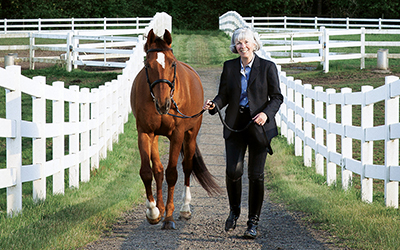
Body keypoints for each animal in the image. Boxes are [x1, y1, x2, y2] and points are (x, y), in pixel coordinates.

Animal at [130, 28, 219, 229]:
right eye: (148, 65)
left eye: (172, 64)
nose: (163, 104)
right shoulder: (144, 133)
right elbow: (147, 172)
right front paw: (153, 211)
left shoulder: (178, 135)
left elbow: (172, 173)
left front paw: (169, 217)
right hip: (155, 136)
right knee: (158, 170)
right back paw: (160, 208)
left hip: (190, 136)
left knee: (186, 167)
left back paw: (184, 209)